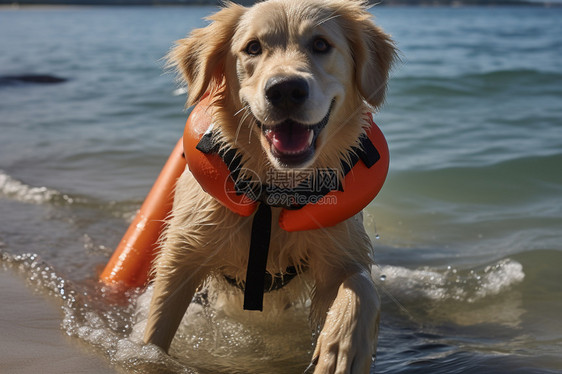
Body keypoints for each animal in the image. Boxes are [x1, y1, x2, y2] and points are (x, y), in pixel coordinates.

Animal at [142, 0, 394, 372]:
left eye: (321, 44)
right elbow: (156, 328)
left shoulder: (339, 248)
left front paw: (342, 347)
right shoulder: (183, 253)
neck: (274, 191)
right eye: (252, 47)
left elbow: (360, 284)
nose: (285, 89)